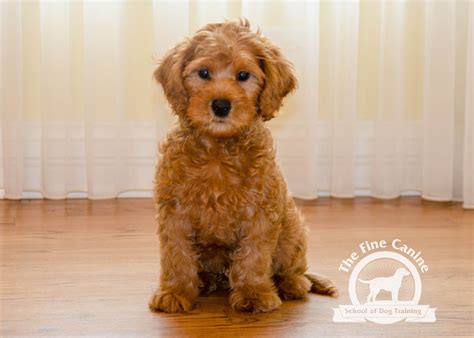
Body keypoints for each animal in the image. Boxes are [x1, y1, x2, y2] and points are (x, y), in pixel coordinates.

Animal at [149, 19, 336, 314]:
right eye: (203, 73)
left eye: (243, 75)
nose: (221, 105)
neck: (218, 149)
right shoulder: (174, 212)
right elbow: (176, 255)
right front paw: (175, 291)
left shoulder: (260, 212)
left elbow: (254, 255)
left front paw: (253, 293)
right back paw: (206, 280)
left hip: (292, 229)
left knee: (294, 268)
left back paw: (293, 283)